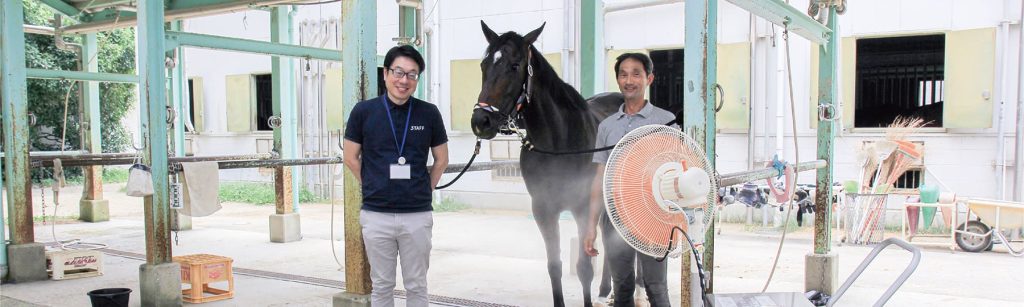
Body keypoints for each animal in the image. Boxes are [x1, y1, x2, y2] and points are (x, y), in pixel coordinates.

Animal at [468, 20, 618, 304]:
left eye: (515, 65)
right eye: (483, 65)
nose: (481, 121)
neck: (559, 143)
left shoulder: (582, 208)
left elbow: (584, 267)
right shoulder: (543, 210)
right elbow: (554, 266)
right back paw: (606, 289)